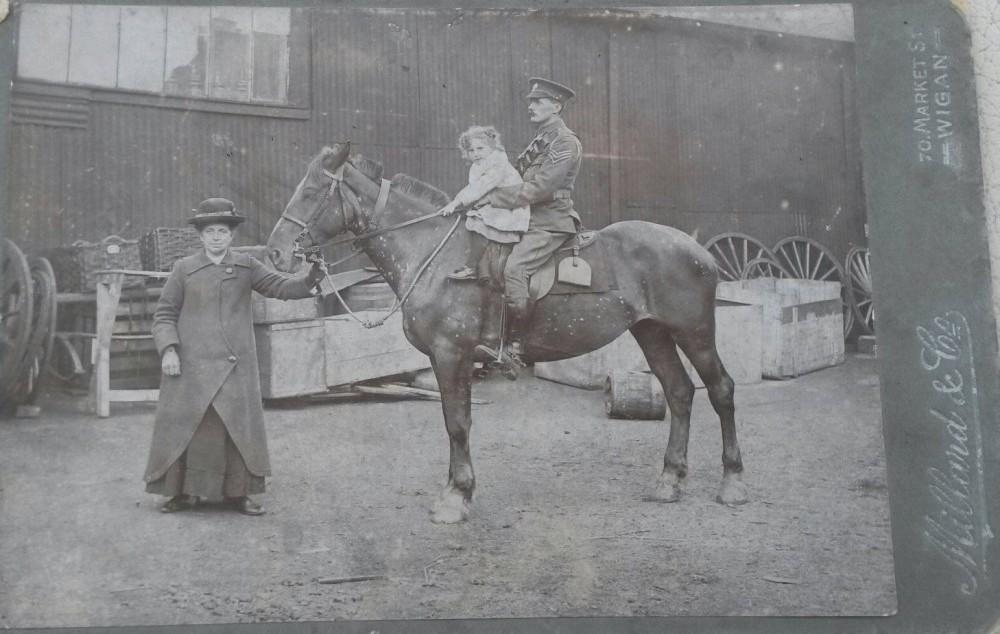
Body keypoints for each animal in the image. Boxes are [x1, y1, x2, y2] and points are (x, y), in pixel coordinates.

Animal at [268, 144, 752, 524]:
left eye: (311, 192)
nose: (275, 252)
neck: (433, 254)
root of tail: (698, 249)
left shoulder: (451, 355)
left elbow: (457, 423)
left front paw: (456, 497)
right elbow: (454, 422)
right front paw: (456, 491)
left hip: (694, 332)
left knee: (721, 390)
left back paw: (732, 483)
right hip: (652, 333)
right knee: (679, 393)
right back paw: (669, 480)